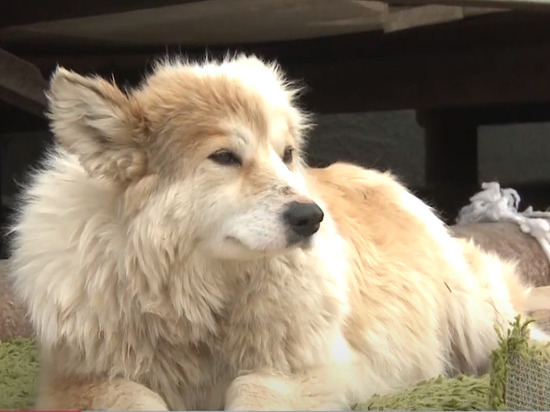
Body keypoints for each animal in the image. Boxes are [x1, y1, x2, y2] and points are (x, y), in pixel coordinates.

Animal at [8, 54, 550, 408]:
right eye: (225, 157)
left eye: (286, 154)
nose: (311, 217)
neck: (200, 295)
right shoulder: (78, 380)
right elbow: (134, 399)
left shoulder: (313, 371)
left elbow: (248, 388)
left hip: (476, 316)